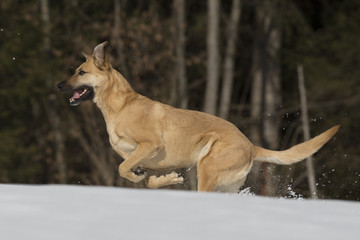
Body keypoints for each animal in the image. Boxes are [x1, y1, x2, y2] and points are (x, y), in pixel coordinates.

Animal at [55, 40, 338, 191]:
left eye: (81, 72)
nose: (58, 86)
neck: (120, 106)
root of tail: (250, 145)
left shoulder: (150, 144)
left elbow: (123, 169)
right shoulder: (140, 157)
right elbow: (145, 178)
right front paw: (167, 178)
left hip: (207, 169)